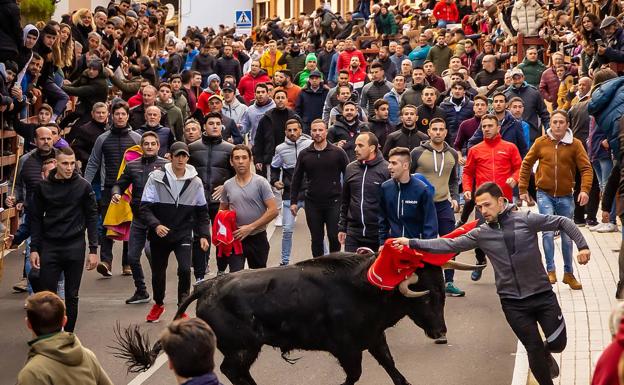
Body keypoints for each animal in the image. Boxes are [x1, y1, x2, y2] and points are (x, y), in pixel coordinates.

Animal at [116, 250, 472, 382]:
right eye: (427, 296)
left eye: (441, 292)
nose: (440, 332)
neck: (364, 289)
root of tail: (208, 285)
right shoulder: (348, 349)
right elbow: (354, 376)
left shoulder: (374, 339)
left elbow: (393, 368)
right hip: (244, 347)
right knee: (233, 370)